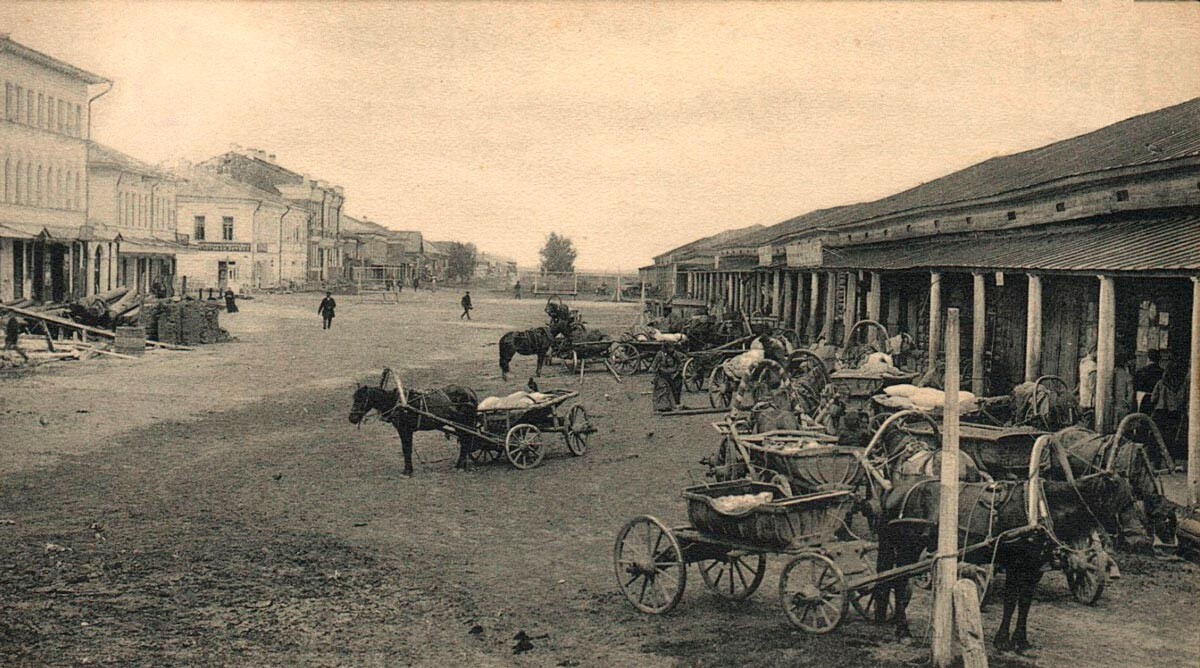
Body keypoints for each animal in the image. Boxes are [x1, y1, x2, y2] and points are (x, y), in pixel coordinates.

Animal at [348, 381, 477, 474]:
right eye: (354, 398)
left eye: (361, 399)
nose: (351, 418)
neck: (397, 403)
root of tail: (469, 391)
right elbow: (406, 449)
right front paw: (408, 469)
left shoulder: (405, 430)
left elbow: (406, 449)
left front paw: (407, 471)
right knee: (465, 441)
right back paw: (460, 465)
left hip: (463, 423)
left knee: (465, 441)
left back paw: (460, 466)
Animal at [873, 467, 1132, 652]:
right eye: (1120, 500)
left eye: (1130, 498)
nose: (1133, 537)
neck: (1039, 509)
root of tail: (894, 488)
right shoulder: (1016, 565)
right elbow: (1010, 602)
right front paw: (1002, 640)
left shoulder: (1034, 568)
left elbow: (1025, 603)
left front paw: (1021, 641)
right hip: (907, 548)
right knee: (898, 583)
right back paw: (903, 631)